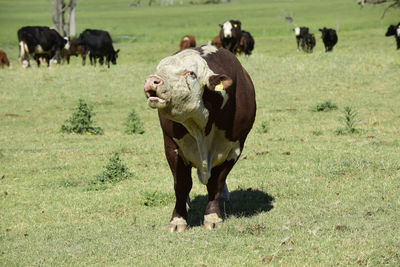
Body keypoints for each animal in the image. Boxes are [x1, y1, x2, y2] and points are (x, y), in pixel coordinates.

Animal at [144, 45, 256, 232]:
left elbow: (216, 184)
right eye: (159, 69)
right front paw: (178, 219)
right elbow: (181, 185)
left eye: (191, 73)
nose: (152, 80)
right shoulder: (172, 147)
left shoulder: (233, 149)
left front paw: (213, 216)